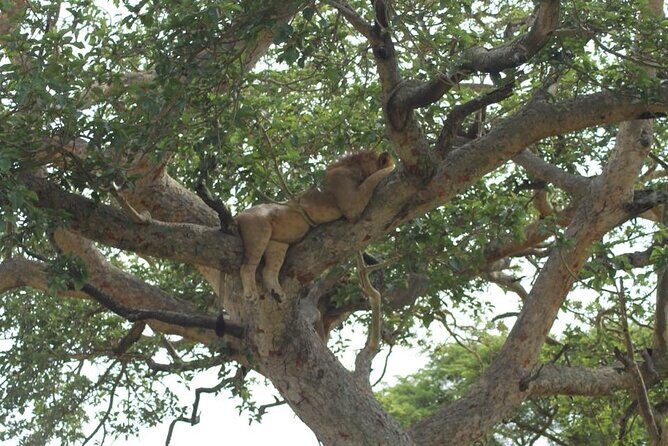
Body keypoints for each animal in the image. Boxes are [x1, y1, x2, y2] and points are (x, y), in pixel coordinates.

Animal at [236, 150, 395, 301]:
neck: (358, 168)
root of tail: (238, 215)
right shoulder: (352, 204)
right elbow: (372, 179)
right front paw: (392, 169)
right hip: (259, 229)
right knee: (247, 266)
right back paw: (251, 294)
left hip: (278, 244)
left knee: (268, 270)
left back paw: (278, 293)